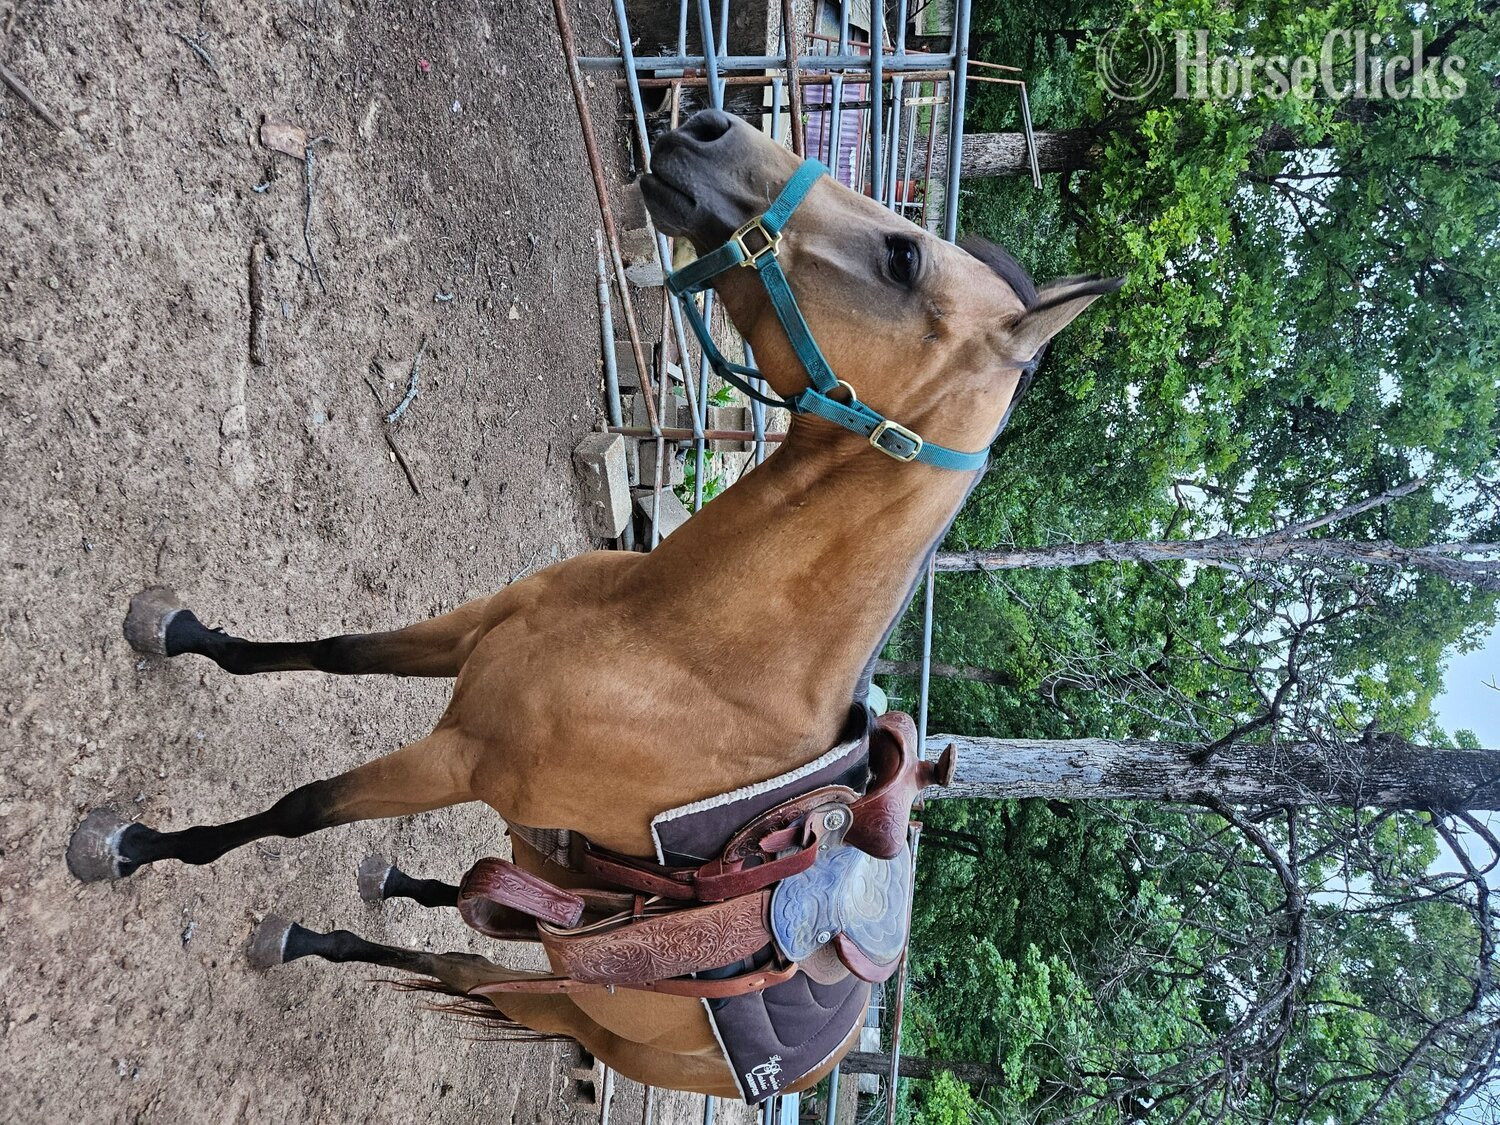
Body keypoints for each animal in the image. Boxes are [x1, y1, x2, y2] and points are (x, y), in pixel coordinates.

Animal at [67, 108, 1118, 1099]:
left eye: (903, 258)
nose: (707, 128)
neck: (670, 644)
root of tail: (828, 1050)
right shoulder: (466, 635)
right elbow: (332, 650)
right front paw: (178, 632)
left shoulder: (458, 756)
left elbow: (299, 808)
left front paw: (135, 846)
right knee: (474, 902)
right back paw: (389, 880)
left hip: (567, 999)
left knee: (461, 961)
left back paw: (308, 938)